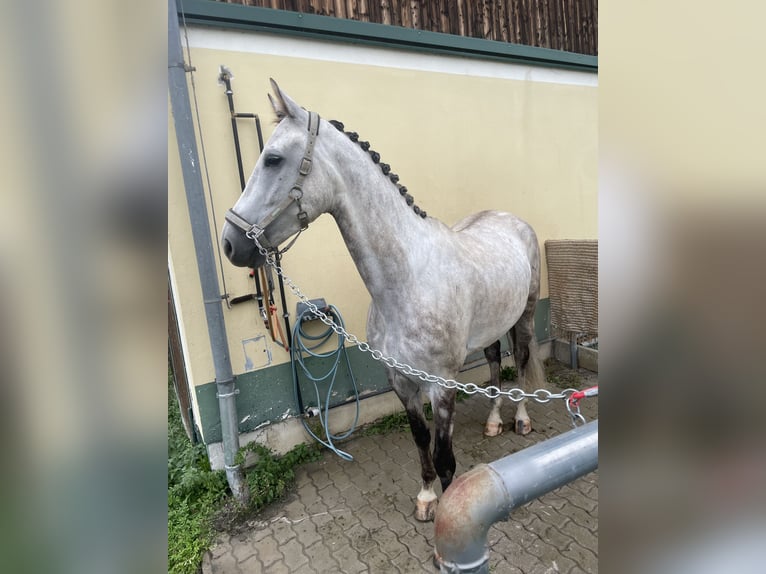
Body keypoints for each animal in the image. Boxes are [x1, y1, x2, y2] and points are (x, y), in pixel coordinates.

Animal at [222, 81, 544, 528]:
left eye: (273, 159)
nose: (230, 243)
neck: (407, 281)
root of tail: (511, 219)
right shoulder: (401, 380)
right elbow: (421, 439)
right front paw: (426, 498)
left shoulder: (441, 385)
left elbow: (445, 456)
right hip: (492, 327)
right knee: (497, 360)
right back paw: (495, 422)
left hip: (526, 314)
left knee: (524, 358)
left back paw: (522, 419)